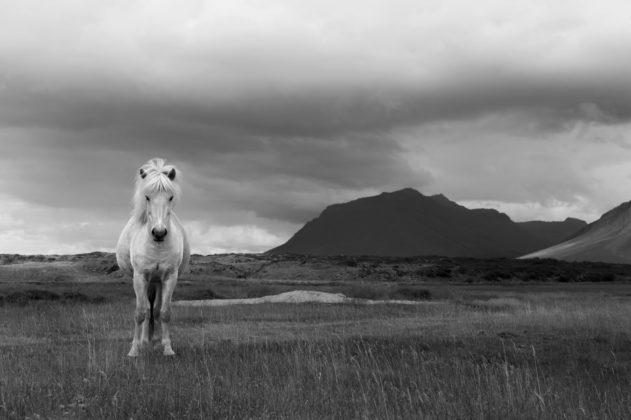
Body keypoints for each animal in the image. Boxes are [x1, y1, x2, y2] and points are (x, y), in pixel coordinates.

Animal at [116, 159, 190, 356]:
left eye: (170, 197)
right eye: (147, 197)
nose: (159, 233)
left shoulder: (169, 278)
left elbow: (164, 313)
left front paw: (167, 348)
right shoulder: (140, 277)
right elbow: (140, 312)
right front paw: (134, 349)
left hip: (157, 282)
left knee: (155, 311)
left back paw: (154, 340)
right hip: (148, 281)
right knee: (147, 310)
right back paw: (143, 340)